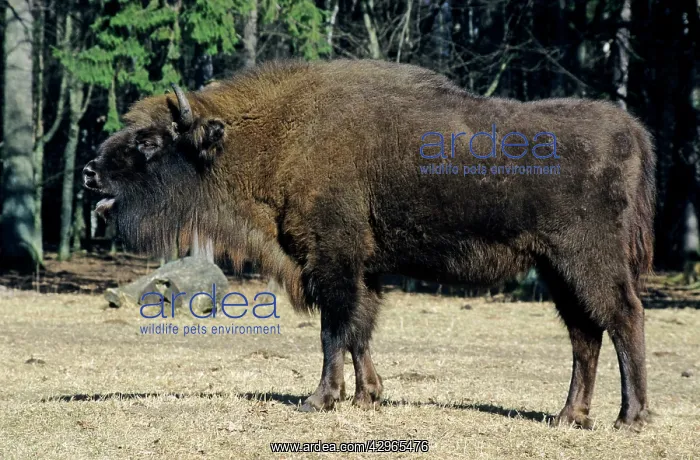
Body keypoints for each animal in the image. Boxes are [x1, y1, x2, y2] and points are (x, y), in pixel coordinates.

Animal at [83, 59, 655, 431]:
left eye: (151, 142)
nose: (90, 171)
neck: (279, 135)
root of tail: (630, 130)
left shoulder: (332, 260)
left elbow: (334, 330)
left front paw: (319, 399)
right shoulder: (364, 270)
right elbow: (360, 330)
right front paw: (368, 397)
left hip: (586, 260)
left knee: (623, 318)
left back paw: (629, 418)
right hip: (556, 270)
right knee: (585, 335)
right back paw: (568, 417)